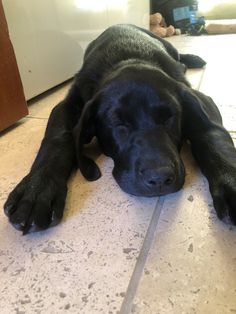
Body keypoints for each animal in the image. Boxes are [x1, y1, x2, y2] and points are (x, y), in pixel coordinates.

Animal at [3, 23, 236, 233]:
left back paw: (191, 60)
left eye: (169, 117)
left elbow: (211, 135)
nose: (159, 178)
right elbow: (57, 138)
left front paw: (230, 181)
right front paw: (37, 190)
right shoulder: (66, 104)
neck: (128, 60)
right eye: (118, 123)